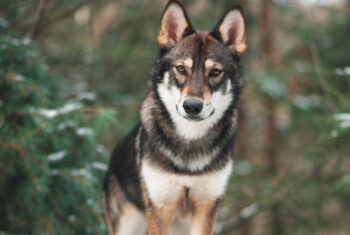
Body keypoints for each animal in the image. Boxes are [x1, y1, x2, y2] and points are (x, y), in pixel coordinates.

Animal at [102, 0, 247, 234]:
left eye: (215, 72)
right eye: (181, 68)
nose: (192, 106)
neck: (189, 144)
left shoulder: (207, 206)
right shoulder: (160, 207)